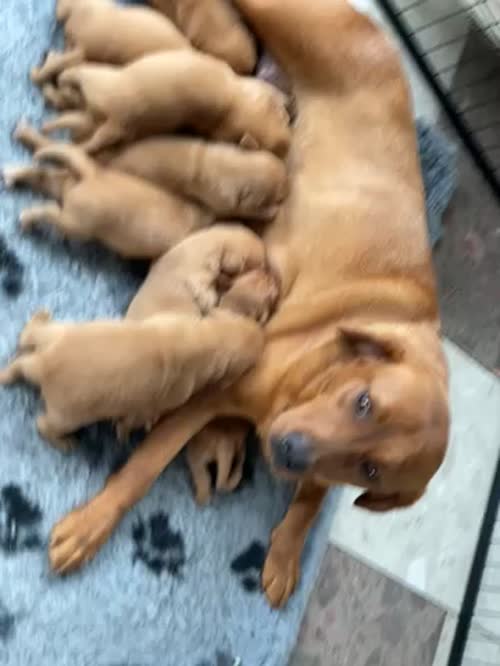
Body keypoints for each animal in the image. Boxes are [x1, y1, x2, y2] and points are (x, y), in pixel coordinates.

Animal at [1, 141, 211, 258]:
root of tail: (93, 175)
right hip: (75, 224)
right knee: (50, 209)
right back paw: (27, 218)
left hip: (63, 185)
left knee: (41, 174)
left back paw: (12, 173)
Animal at [45, 49, 292, 156]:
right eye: (284, 119)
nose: (287, 144)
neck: (235, 105)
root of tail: (116, 118)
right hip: (101, 83)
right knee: (76, 75)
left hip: (103, 100)